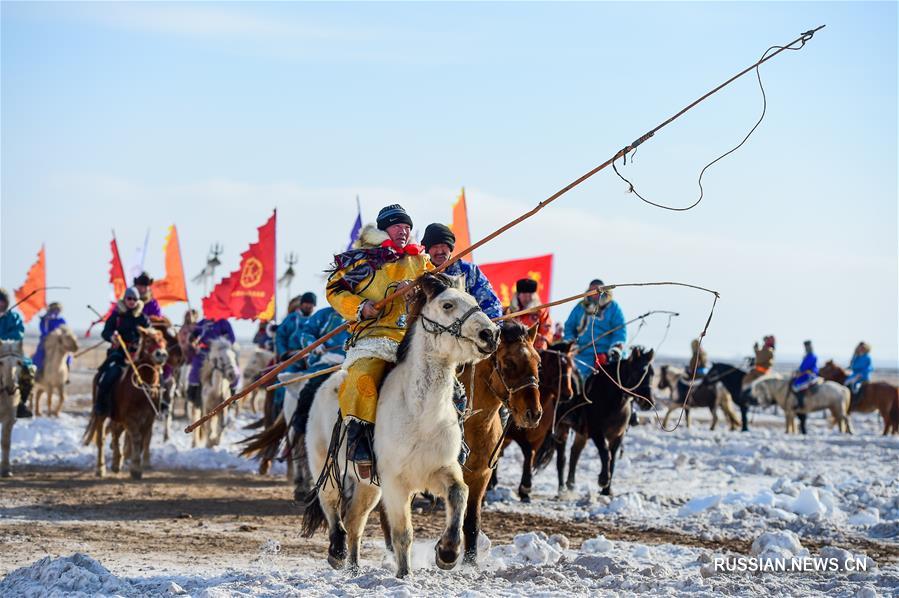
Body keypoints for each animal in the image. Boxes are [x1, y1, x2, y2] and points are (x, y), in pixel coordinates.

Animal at [85, 326, 170, 480]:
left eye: (164, 341)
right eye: (148, 341)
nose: (161, 354)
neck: (142, 387)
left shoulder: (148, 418)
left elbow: (142, 439)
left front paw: (133, 465)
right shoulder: (129, 418)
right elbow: (136, 438)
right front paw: (135, 468)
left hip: (117, 417)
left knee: (115, 433)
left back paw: (116, 462)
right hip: (102, 414)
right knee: (102, 439)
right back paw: (101, 468)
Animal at [302, 274, 500, 580]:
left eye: (475, 301)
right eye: (447, 304)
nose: (490, 334)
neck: (420, 412)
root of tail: (326, 383)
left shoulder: (440, 470)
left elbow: (459, 493)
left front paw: (447, 552)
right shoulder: (396, 484)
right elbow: (402, 533)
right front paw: (404, 575)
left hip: (369, 486)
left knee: (355, 521)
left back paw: (354, 569)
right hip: (326, 465)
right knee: (332, 505)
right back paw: (337, 552)